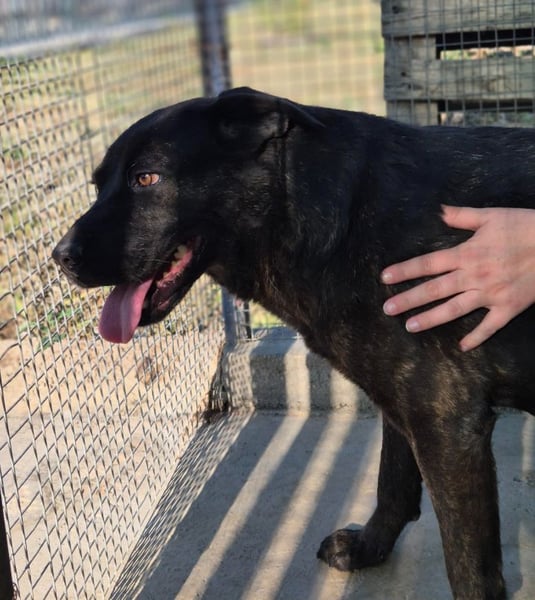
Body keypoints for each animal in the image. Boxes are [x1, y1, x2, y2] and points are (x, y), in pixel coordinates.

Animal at [53, 87, 534, 599]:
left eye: (146, 178)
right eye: (97, 185)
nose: (60, 258)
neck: (337, 218)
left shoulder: (448, 423)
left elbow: (468, 567)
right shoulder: (407, 403)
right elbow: (393, 481)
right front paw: (369, 548)